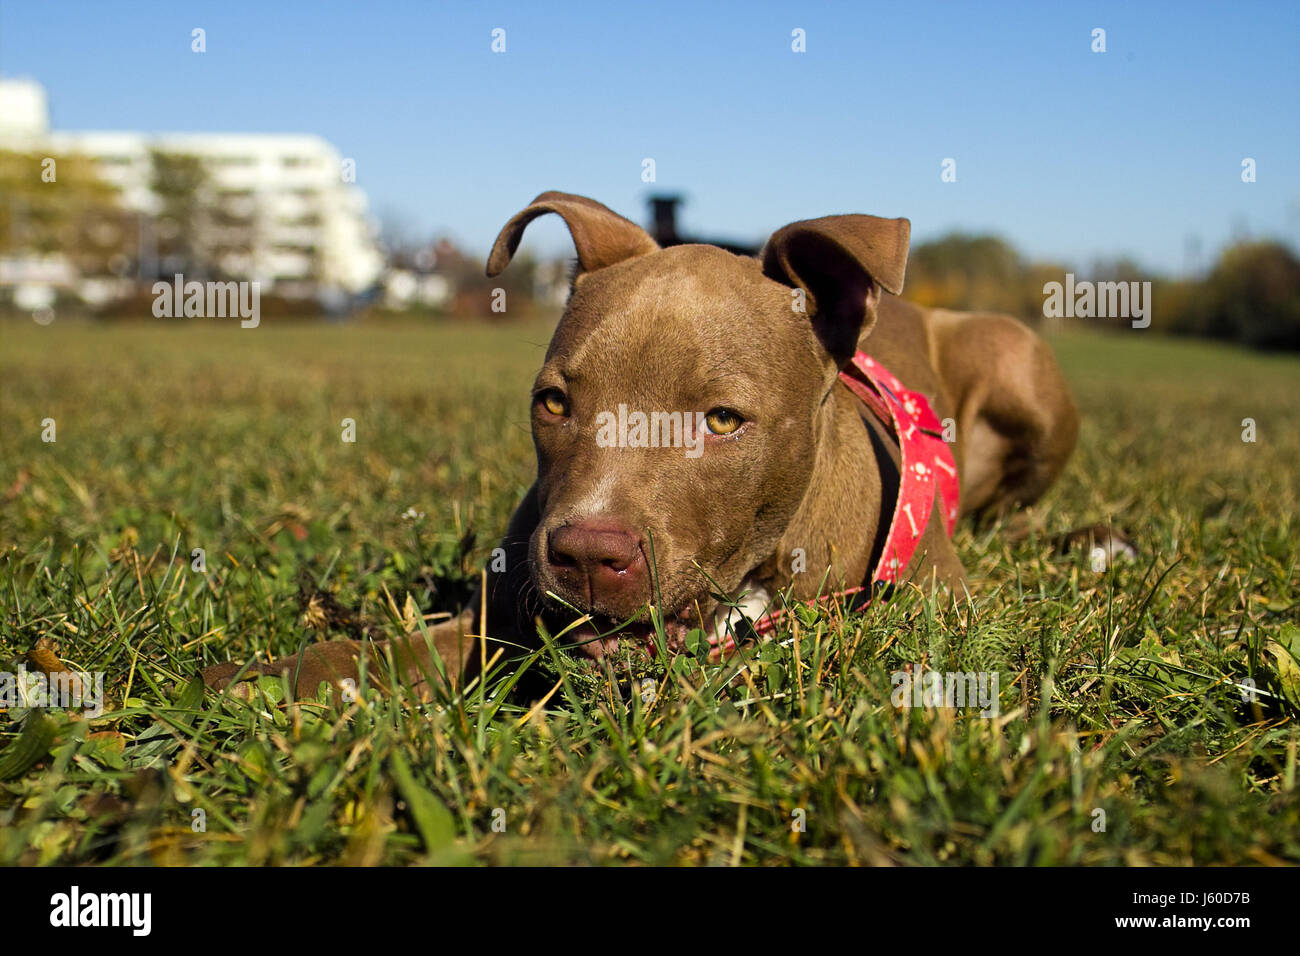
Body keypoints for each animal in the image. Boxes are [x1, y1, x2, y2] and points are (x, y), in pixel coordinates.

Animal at [202, 188, 1076, 697]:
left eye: (721, 420)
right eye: (554, 402)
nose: (588, 556)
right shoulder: (496, 619)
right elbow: (372, 657)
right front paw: (247, 685)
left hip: (1021, 358)